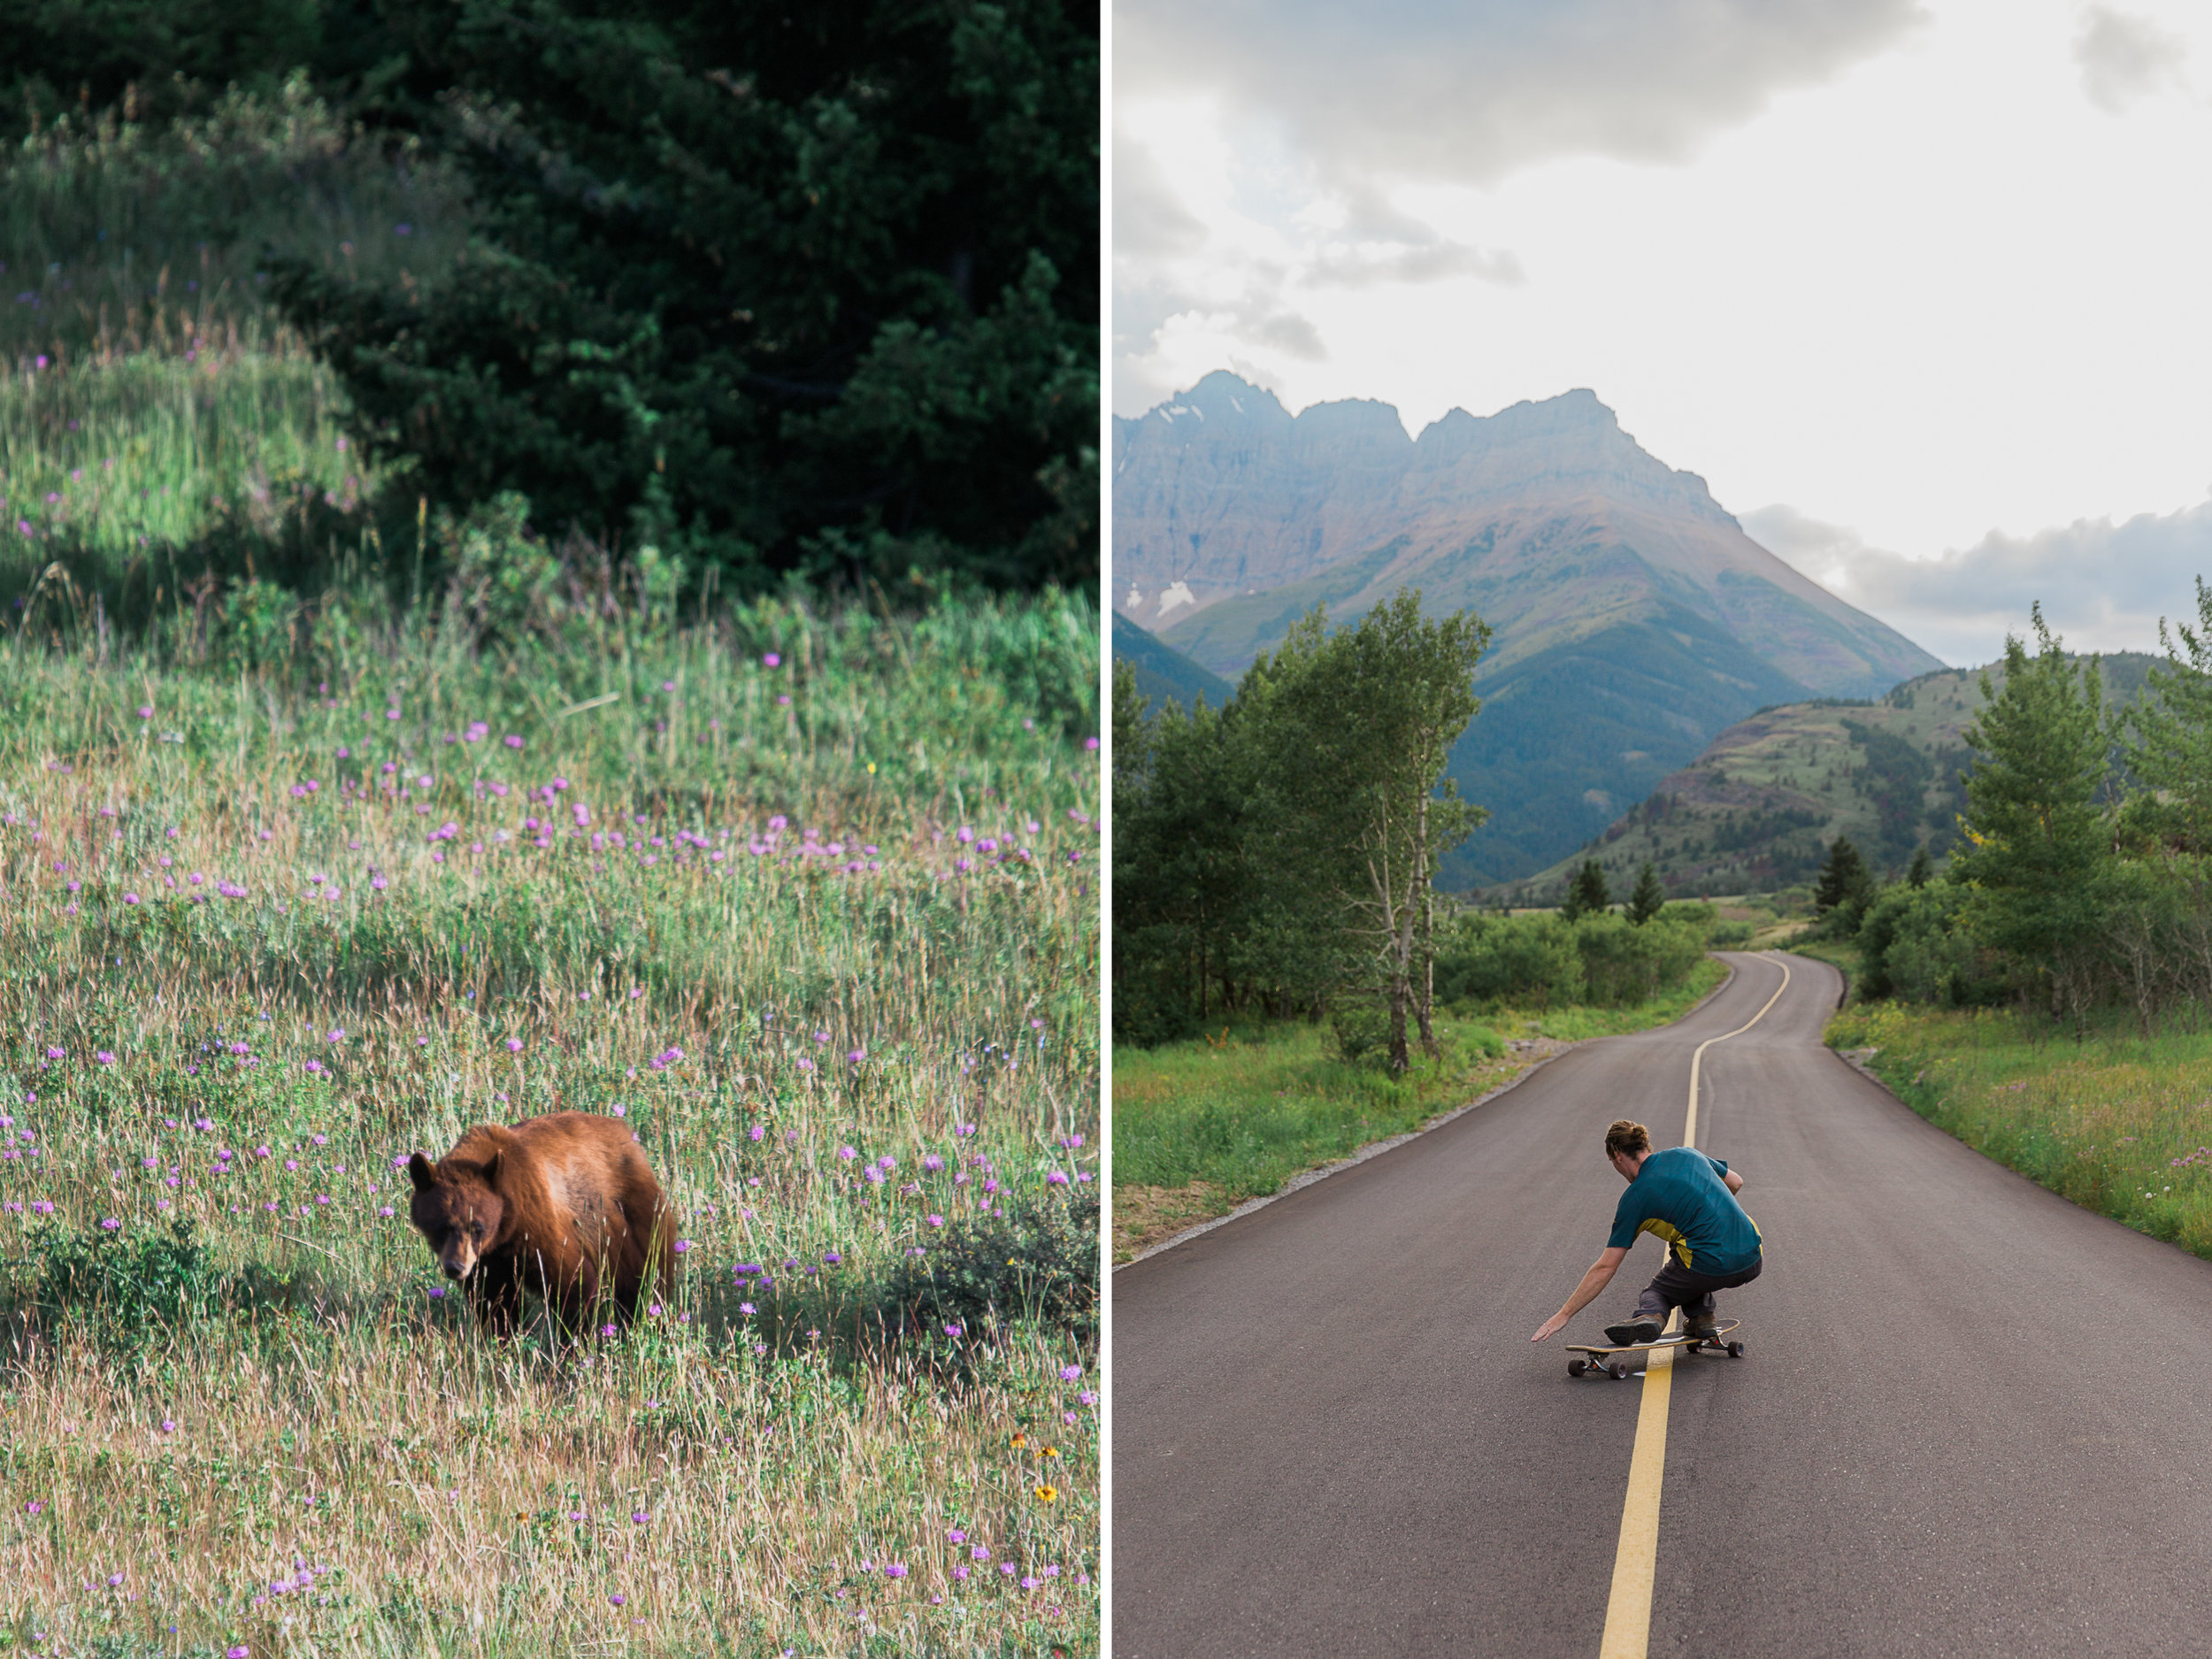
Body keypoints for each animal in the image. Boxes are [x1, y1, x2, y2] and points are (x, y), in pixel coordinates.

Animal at [409, 1119, 677, 1336]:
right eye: (442, 1227)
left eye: (478, 1227)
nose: (456, 1267)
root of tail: (628, 1135)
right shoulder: (488, 1261)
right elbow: (494, 1301)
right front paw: (502, 1340)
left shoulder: (540, 1228)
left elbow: (573, 1285)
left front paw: (573, 1345)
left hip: (632, 1216)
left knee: (645, 1278)